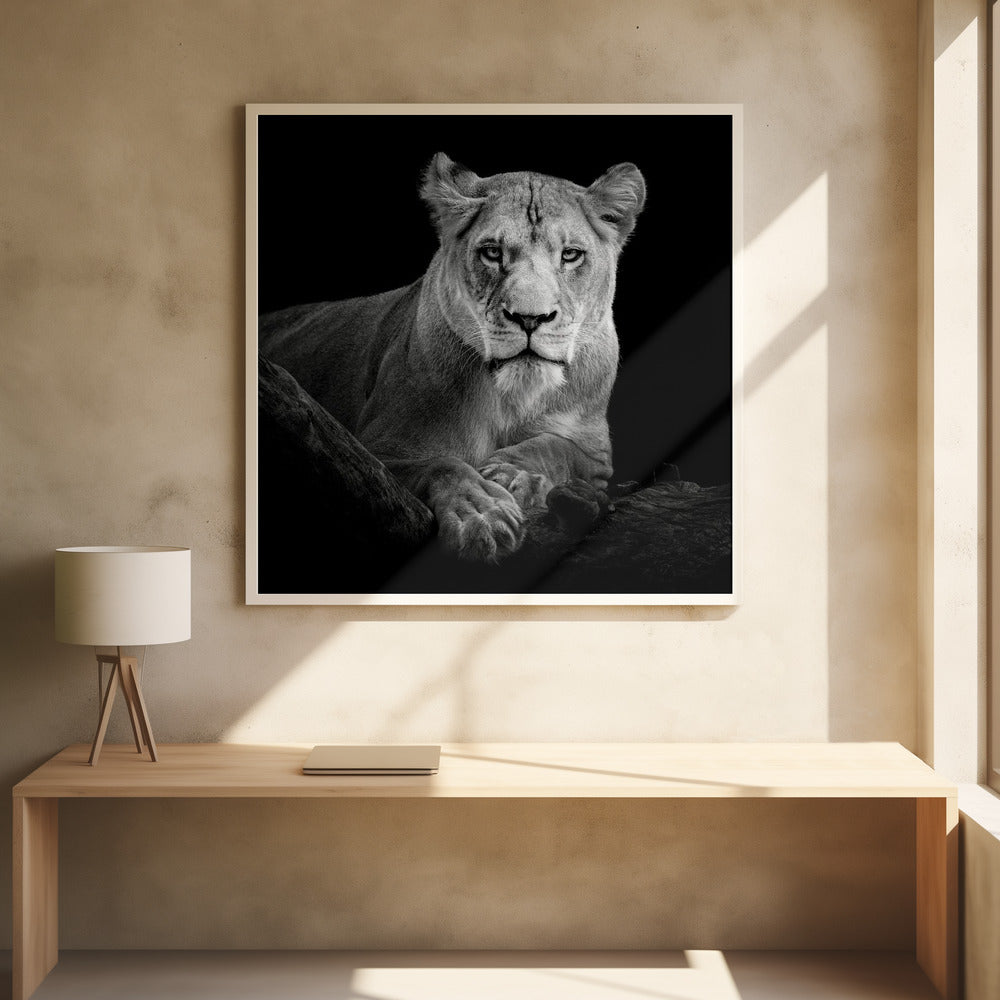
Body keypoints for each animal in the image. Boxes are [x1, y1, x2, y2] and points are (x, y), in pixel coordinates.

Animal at [259, 152, 645, 561]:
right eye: (492, 252)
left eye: (570, 255)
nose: (530, 318)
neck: (512, 397)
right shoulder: (375, 454)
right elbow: (445, 465)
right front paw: (483, 515)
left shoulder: (597, 455)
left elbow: (558, 447)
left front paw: (513, 474)